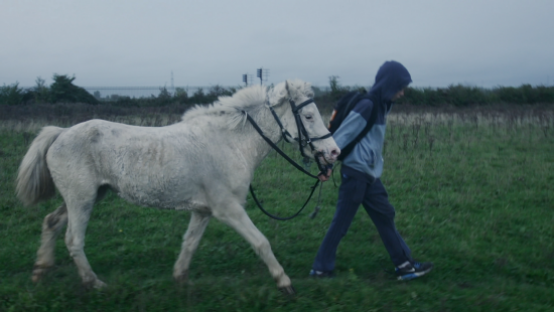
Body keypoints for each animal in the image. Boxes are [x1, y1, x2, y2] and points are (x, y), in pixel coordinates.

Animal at [15, 80, 338, 294]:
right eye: (308, 116)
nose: (333, 152)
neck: (230, 142)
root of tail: (60, 133)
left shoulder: (204, 210)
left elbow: (189, 243)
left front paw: (180, 277)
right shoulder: (228, 209)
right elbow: (261, 242)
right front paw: (284, 281)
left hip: (87, 196)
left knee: (51, 222)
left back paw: (40, 271)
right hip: (81, 199)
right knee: (73, 239)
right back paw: (93, 282)